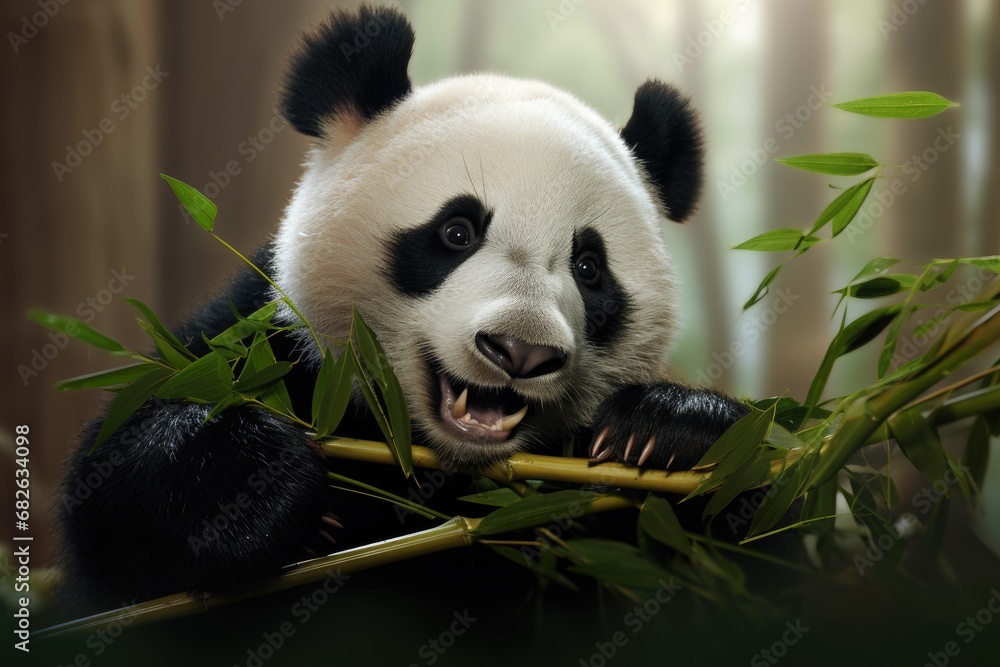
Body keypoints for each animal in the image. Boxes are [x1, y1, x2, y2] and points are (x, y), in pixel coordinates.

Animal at [59, 4, 748, 613]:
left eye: (589, 267)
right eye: (456, 231)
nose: (520, 351)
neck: (441, 467)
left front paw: (670, 432)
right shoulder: (262, 343)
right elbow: (111, 495)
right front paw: (255, 486)